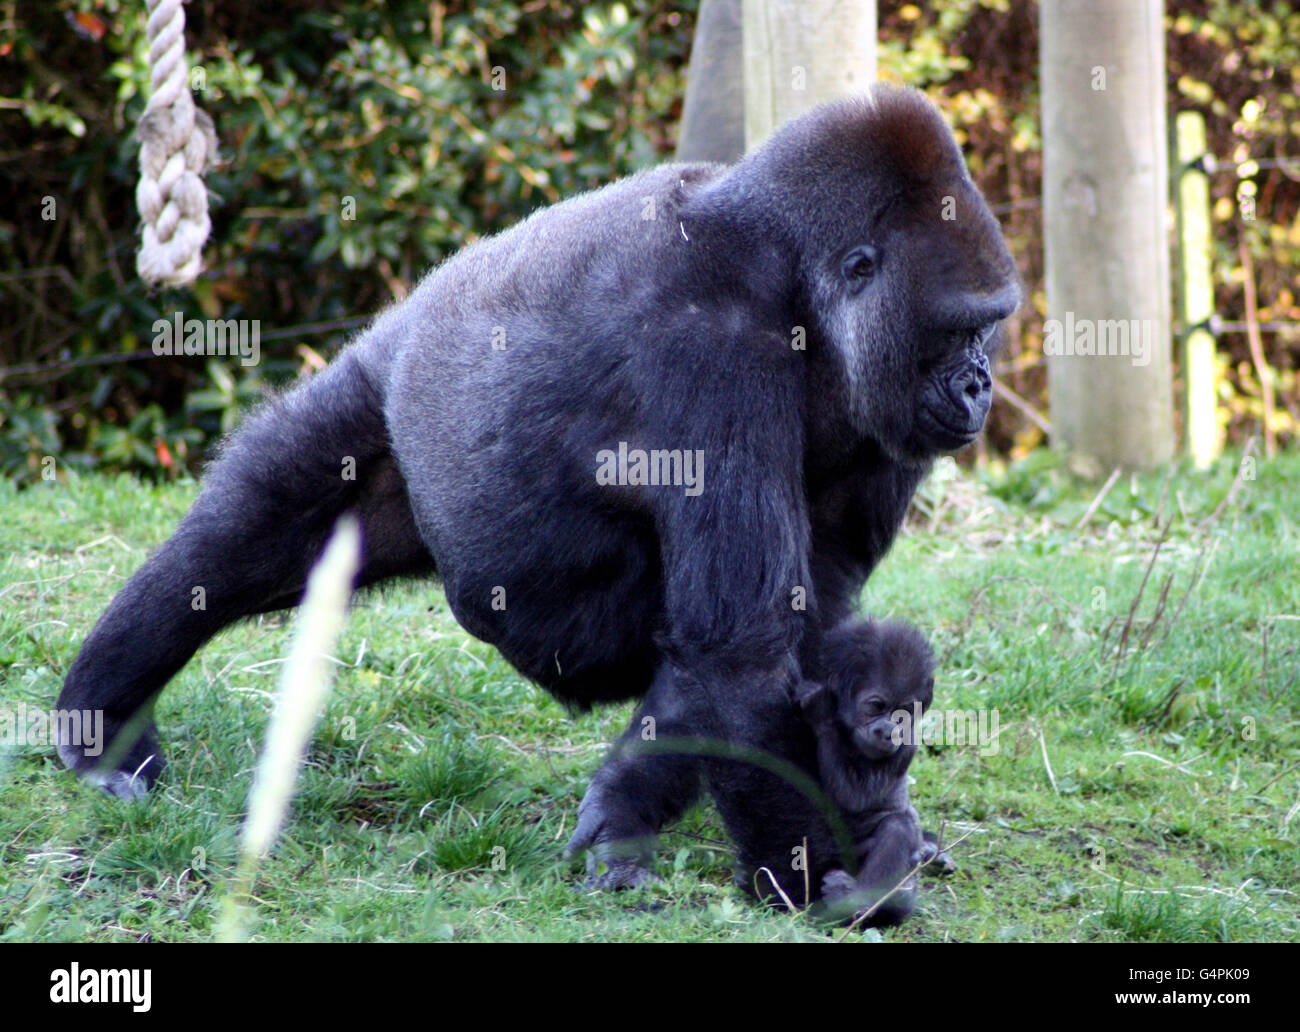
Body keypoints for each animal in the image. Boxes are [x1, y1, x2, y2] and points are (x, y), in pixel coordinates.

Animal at [790, 616, 946, 920]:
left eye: (904, 713)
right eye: (876, 706)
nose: (889, 732)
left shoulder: (907, 744)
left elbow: (856, 798)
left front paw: (821, 712)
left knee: (899, 826)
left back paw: (857, 899)